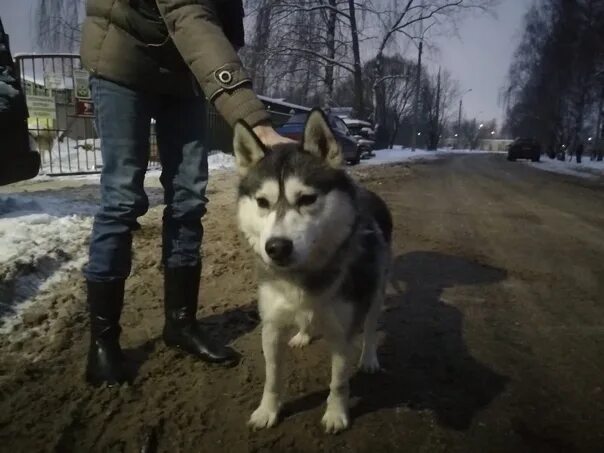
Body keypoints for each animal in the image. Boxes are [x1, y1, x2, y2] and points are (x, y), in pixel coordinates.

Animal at [231, 107, 392, 432]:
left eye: (307, 199)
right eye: (262, 202)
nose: (277, 247)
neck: (302, 279)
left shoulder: (343, 334)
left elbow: (338, 382)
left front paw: (336, 414)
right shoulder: (271, 327)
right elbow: (272, 377)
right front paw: (267, 411)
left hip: (375, 292)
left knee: (370, 327)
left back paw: (369, 358)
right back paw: (303, 334)